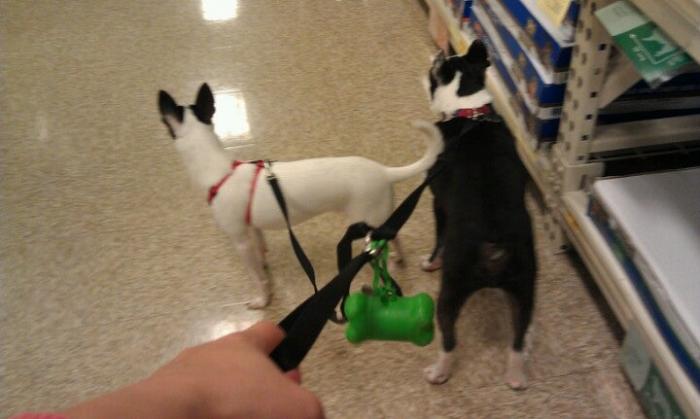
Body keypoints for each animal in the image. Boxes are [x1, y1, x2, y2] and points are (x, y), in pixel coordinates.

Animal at [158, 83, 443, 309]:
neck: (220, 170)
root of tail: (384, 172)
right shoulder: (253, 229)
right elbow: (261, 250)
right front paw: (265, 263)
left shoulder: (240, 241)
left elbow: (257, 278)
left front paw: (263, 299)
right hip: (377, 220)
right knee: (395, 237)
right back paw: (398, 258)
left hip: (366, 222)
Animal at [420, 40, 537, 390]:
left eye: (433, 70)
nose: (436, 53)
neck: (469, 109)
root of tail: (494, 246)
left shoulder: (437, 202)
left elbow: (438, 240)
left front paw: (430, 262)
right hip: (525, 287)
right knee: (517, 337)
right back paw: (516, 375)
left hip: (451, 291)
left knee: (449, 340)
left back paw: (439, 371)